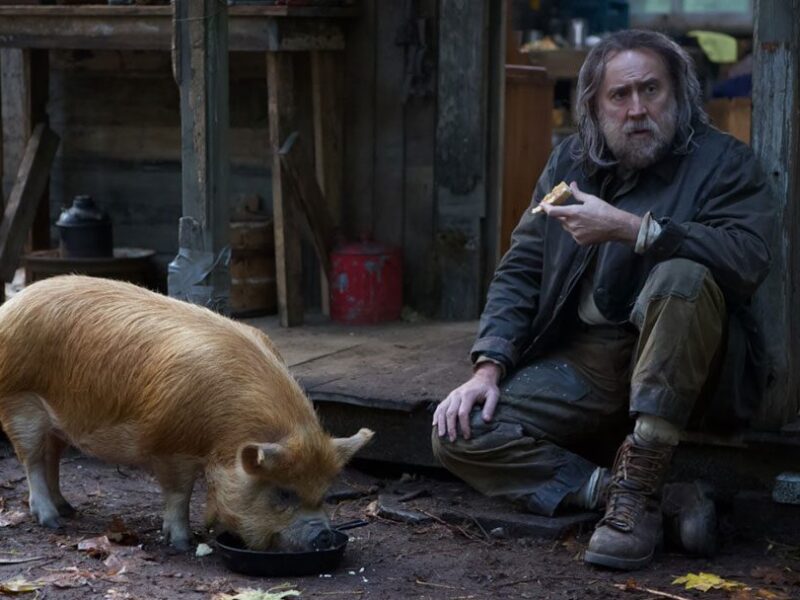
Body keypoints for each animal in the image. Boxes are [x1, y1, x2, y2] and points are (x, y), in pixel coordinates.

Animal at [0, 275, 373, 551]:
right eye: (284, 492)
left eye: (323, 493)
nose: (323, 536)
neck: (223, 433)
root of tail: (9, 306)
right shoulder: (169, 445)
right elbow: (179, 493)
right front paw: (182, 543)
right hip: (19, 402)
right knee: (32, 460)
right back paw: (51, 520)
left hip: (56, 421)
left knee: (52, 457)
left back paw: (68, 509)